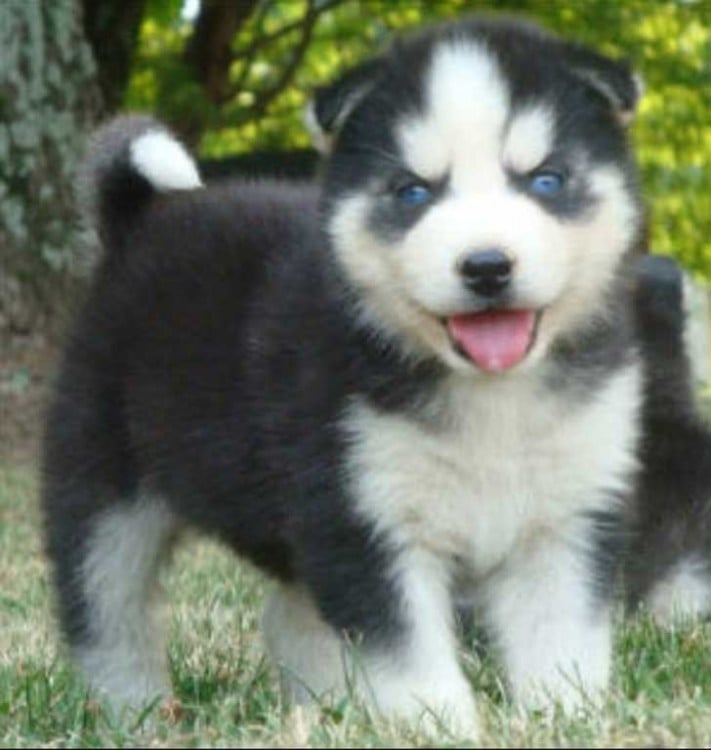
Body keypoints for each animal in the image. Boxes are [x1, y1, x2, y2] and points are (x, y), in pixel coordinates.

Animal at [43, 14, 700, 736]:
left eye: (545, 180)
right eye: (413, 191)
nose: (486, 266)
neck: (491, 396)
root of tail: (142, 216)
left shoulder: (569, 516)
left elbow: (559, 643)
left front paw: (564, 719)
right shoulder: (364, 516)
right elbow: (410, 660)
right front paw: (440, 730)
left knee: (288, 616)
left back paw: (322, 711)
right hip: (104, 485)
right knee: (107, 610)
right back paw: (138, 713)